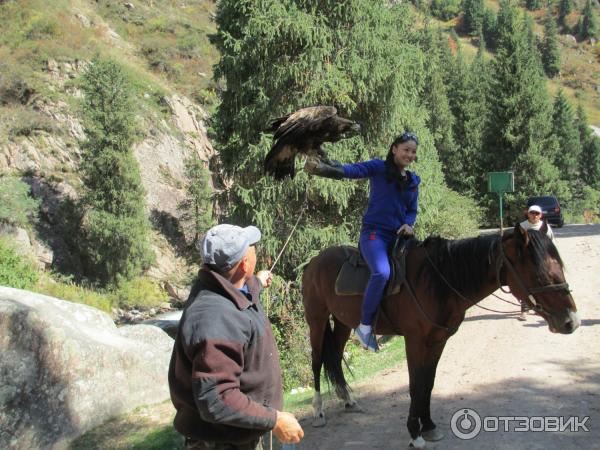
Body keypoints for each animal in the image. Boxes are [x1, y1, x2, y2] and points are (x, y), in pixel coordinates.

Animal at [302, 223, 580, 448]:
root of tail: (314, 262)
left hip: (342, 322)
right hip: (316, 320)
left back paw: (348, 400)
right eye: (540, 274)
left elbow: (428, 382)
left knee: (336, 357)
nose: (571, 321)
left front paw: (429, 426)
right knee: (316, 361)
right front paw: (414, 434)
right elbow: (415, 385)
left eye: (560, 268)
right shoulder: (415, 341)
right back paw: (318, 413)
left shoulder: (437, 341)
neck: (437, 281)